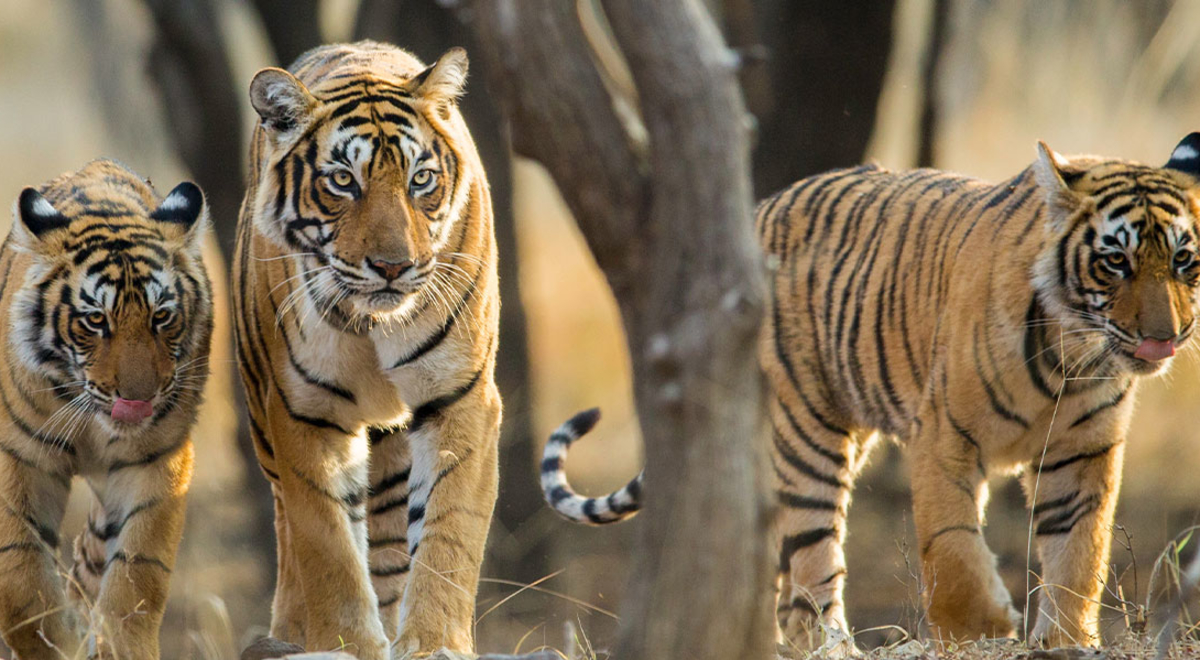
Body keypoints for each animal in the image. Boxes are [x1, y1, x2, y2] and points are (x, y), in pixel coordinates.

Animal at [0, 159, 213, 659]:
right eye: (95, 320)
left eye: (161, 316)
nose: (137, 398)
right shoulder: (19, 456)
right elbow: (21, 578)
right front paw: (56, 643)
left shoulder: (156, 459)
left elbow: (138, 571)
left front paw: (118, 644)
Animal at [232, 41, 500, 660]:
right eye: (342, 181)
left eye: (421, 180)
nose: (393, 266)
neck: (373, 323)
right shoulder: (305, 412)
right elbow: (327, 545)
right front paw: (347, 643)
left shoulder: (460, 398)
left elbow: (449, 533)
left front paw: (434, 642)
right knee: (290, 533)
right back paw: (287, 634)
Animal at [541, 133, 1200, 652]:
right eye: (1115, 262)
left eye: (1184, 262)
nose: (1165, 337)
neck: (1072, 355)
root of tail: (757, 210)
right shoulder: (944, 436)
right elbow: (952, 548)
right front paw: (981, 631)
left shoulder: (1083, 452)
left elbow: (1078, 552)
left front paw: (1064, 639)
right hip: (805, 433)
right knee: (810, 563)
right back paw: (833, 645)